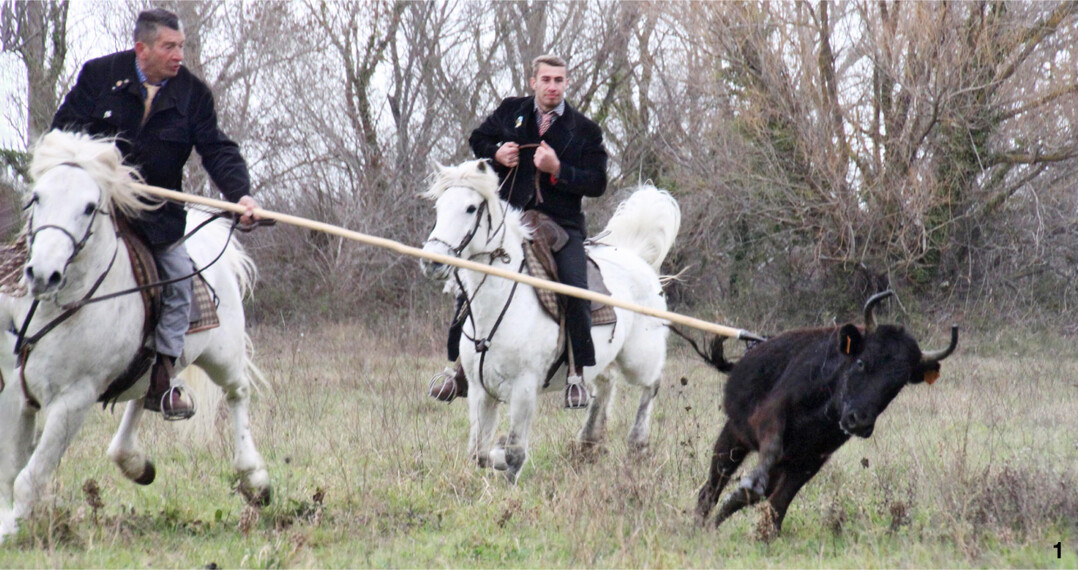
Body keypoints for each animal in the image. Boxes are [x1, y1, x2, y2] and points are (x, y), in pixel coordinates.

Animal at [0, 130, 269, 542]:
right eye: (37, 198)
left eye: (89, 207)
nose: (43, 274)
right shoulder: (16, 392)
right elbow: (9, 470)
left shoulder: (73, 401)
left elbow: (29, 477)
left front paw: (14, 530)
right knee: (146, 394)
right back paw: (133, 460)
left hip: (222, 354)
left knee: (237, 394)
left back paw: (254, 478)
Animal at [420, 160, 681, 483]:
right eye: (439, 207)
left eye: (470, 208)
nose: (432, 262)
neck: (501, 301)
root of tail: (637, 259)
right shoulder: (480, 391)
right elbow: (478, 453)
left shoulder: (524, 389)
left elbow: (512, 453)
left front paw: (505, 460)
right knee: (606, 383)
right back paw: (588, 442)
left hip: (639, 357)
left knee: (651, 383)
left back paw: (638, 444)